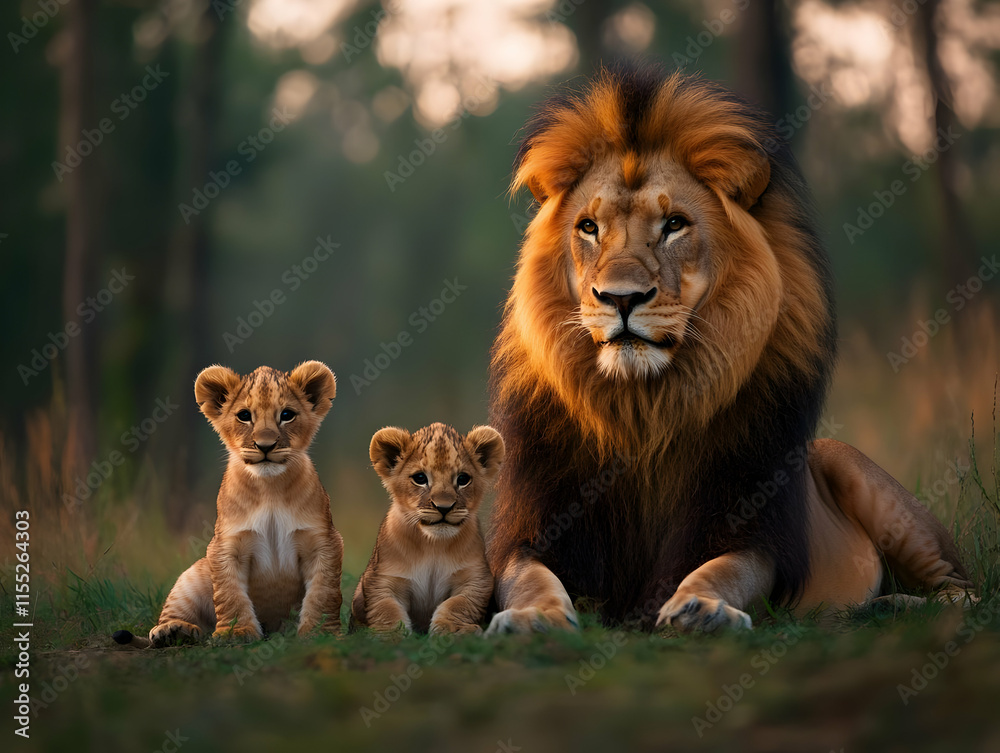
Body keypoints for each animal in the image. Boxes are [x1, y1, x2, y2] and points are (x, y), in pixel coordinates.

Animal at [114, 361, 344, 647]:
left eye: (287, 414)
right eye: (244, 415)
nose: (265, 446)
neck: (269, 489)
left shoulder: (323, 542)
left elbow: (323, 593)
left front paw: (320, 633)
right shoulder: (225, 545)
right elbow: (229, 593)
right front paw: (236, 632)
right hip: (191, 576)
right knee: (175, 611)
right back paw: (172, 631)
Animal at [350, 423, 502, 634]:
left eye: (463, 479)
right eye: (420, 478)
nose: (444, 507)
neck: (433, 545)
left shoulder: (476, 579)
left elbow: (458, 604)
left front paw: (452, 630)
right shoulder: (382, 579)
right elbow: (386, 611)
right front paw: (388, 636)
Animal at [484, 65, 972, 635]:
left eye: (674, 225)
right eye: (588, 227)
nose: (621, 298)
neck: (642, 411)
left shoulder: (751, 528)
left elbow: (722, 570)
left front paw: (701, 607)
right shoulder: (537, 528)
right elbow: (529, 577)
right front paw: (532, 617)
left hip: (874, 489)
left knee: (964, 587)